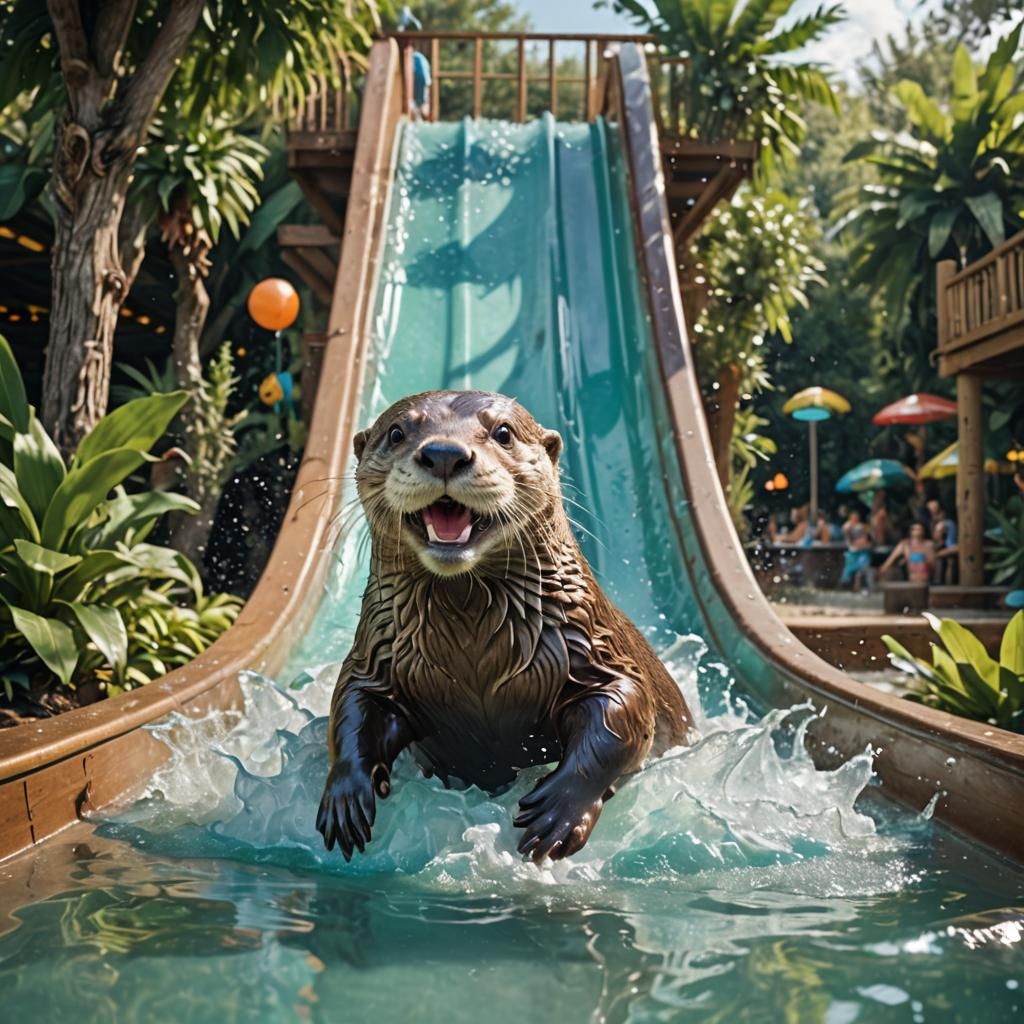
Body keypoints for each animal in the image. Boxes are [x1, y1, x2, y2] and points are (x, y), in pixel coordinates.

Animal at [317, 390, 694, 862]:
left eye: (502, 432)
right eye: (398, 433)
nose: (445, 453)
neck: (473, 649)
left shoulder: (592, 644)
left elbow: (623, 712)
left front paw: (559, 811)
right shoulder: (377, 652)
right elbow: (351, 706)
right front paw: (345, 794)